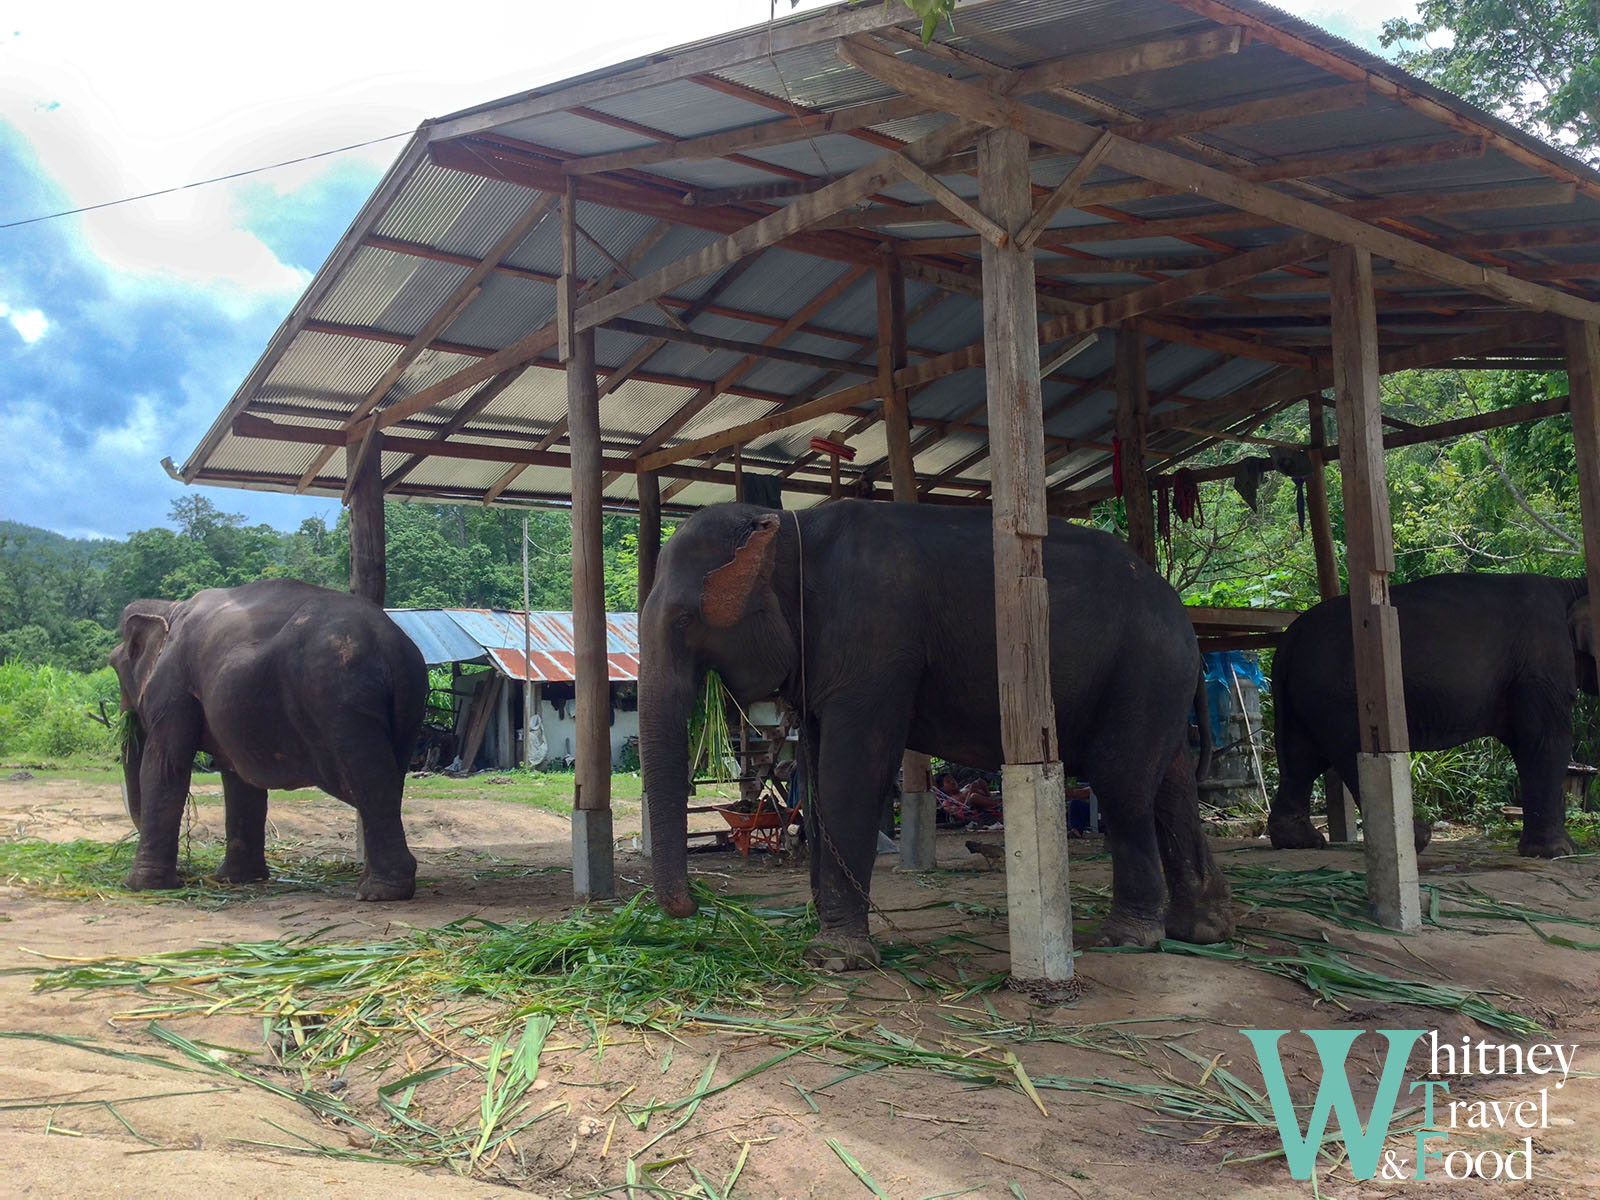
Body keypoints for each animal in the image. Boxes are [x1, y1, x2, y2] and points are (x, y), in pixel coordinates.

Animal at [109, 579, 428, 896]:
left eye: (115, 667)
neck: (170, 608)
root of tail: (392, 647)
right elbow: (239, 779)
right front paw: (235, 879)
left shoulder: (172, 686)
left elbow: (165, 766)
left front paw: (138, 886)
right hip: (406, 704)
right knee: (389, 781)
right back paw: (371, 885)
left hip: (341, 701)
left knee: (368, 778)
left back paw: (378, 892)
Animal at [640, 502, 1235, 972]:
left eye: (686, 619)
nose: (695, 907)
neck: (792, 524)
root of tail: (1183, 615)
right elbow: (815, 768)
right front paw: (815, 930)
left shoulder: (877, 640)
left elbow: (852, 771)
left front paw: (834, 959)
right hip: (1156, 677)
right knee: (1170, 782)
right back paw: (1202, 930)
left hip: (1143, 666)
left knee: (1122, 780)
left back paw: (1129, 938)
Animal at [1267, 576, 1593, 864]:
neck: (1569, 587)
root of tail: (1289, 639)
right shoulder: (1542, 663)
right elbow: (1545, 740)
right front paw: (1560, 852)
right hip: (1339, 697)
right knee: (1351, 753)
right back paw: (1415, 839)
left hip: (1306, 697)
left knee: (1300, 759)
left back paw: (1300, 841)